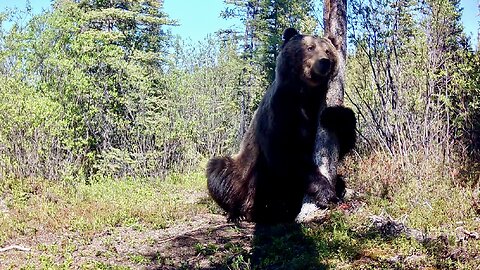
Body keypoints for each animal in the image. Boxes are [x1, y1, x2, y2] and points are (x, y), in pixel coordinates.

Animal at [206, 28, 352, 224]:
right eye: (310, 47)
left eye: (328, 51)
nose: (324, 62)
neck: (306, 94)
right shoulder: (281, 109)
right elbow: (284, 153)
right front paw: (325, 192)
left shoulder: (314, 108)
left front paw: (335, 115)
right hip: (245, 178)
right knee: (220, 171)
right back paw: (237, 213)